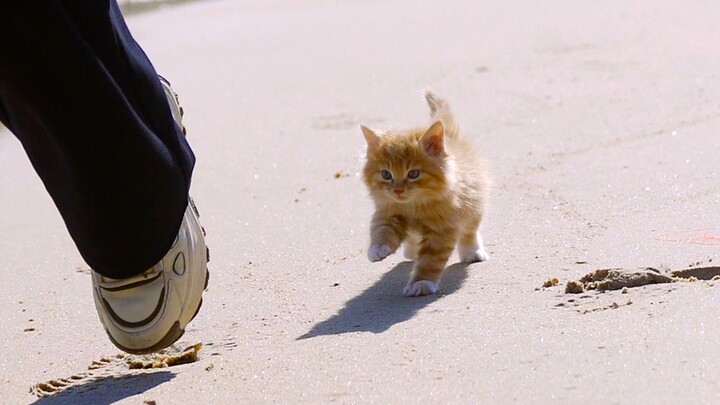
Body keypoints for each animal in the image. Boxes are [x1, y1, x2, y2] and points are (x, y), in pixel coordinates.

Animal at [360, 92, 490, 296]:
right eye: (386, 175)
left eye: (413, 174)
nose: (398, 190)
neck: (414, 206)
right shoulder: (387, 212)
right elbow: (381, 230)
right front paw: (378, 249)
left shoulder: (442, 229)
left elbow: (430, 260)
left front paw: (422, 282)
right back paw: (411, 250)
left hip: (474, 206)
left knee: (470, 231)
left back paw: (472, 252)